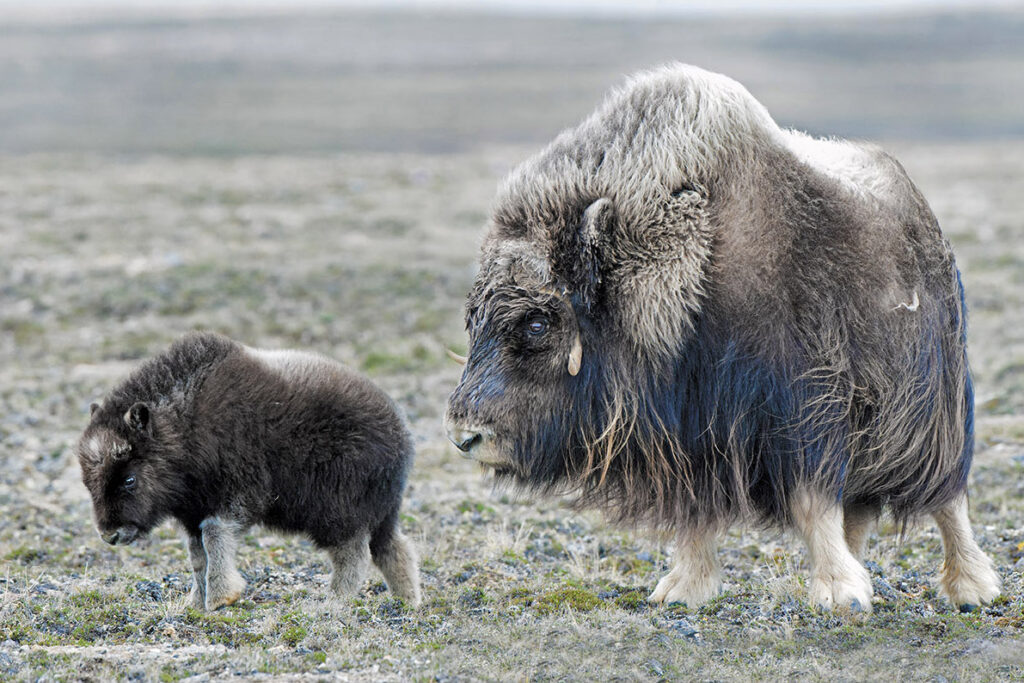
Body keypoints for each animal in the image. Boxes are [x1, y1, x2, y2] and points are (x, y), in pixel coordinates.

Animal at [74, 331, 419, 610]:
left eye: (129, 479)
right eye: (87, 483)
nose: (110, 535)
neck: (184, 428)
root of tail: (401, 434)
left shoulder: (235, 496)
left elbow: (214, 536)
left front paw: (221, 598)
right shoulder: (194, 511)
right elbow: (197, 554)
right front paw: (195, 602)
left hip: (336, 510)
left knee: (354, 552)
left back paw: (332, 601)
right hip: (379, 514)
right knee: (393, 548)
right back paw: (407, 600)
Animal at [446, 63, 999, 614]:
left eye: (537, 322)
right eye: (473, 320)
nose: (463, 436)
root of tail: (921, 217)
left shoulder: (802, 409)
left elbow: (811, 501)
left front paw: (838, 592)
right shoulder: (691, 433)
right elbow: (697, 512)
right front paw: (682, 589)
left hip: (932, 412)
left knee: (948, 499)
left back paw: (971, 586)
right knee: (861, 510)